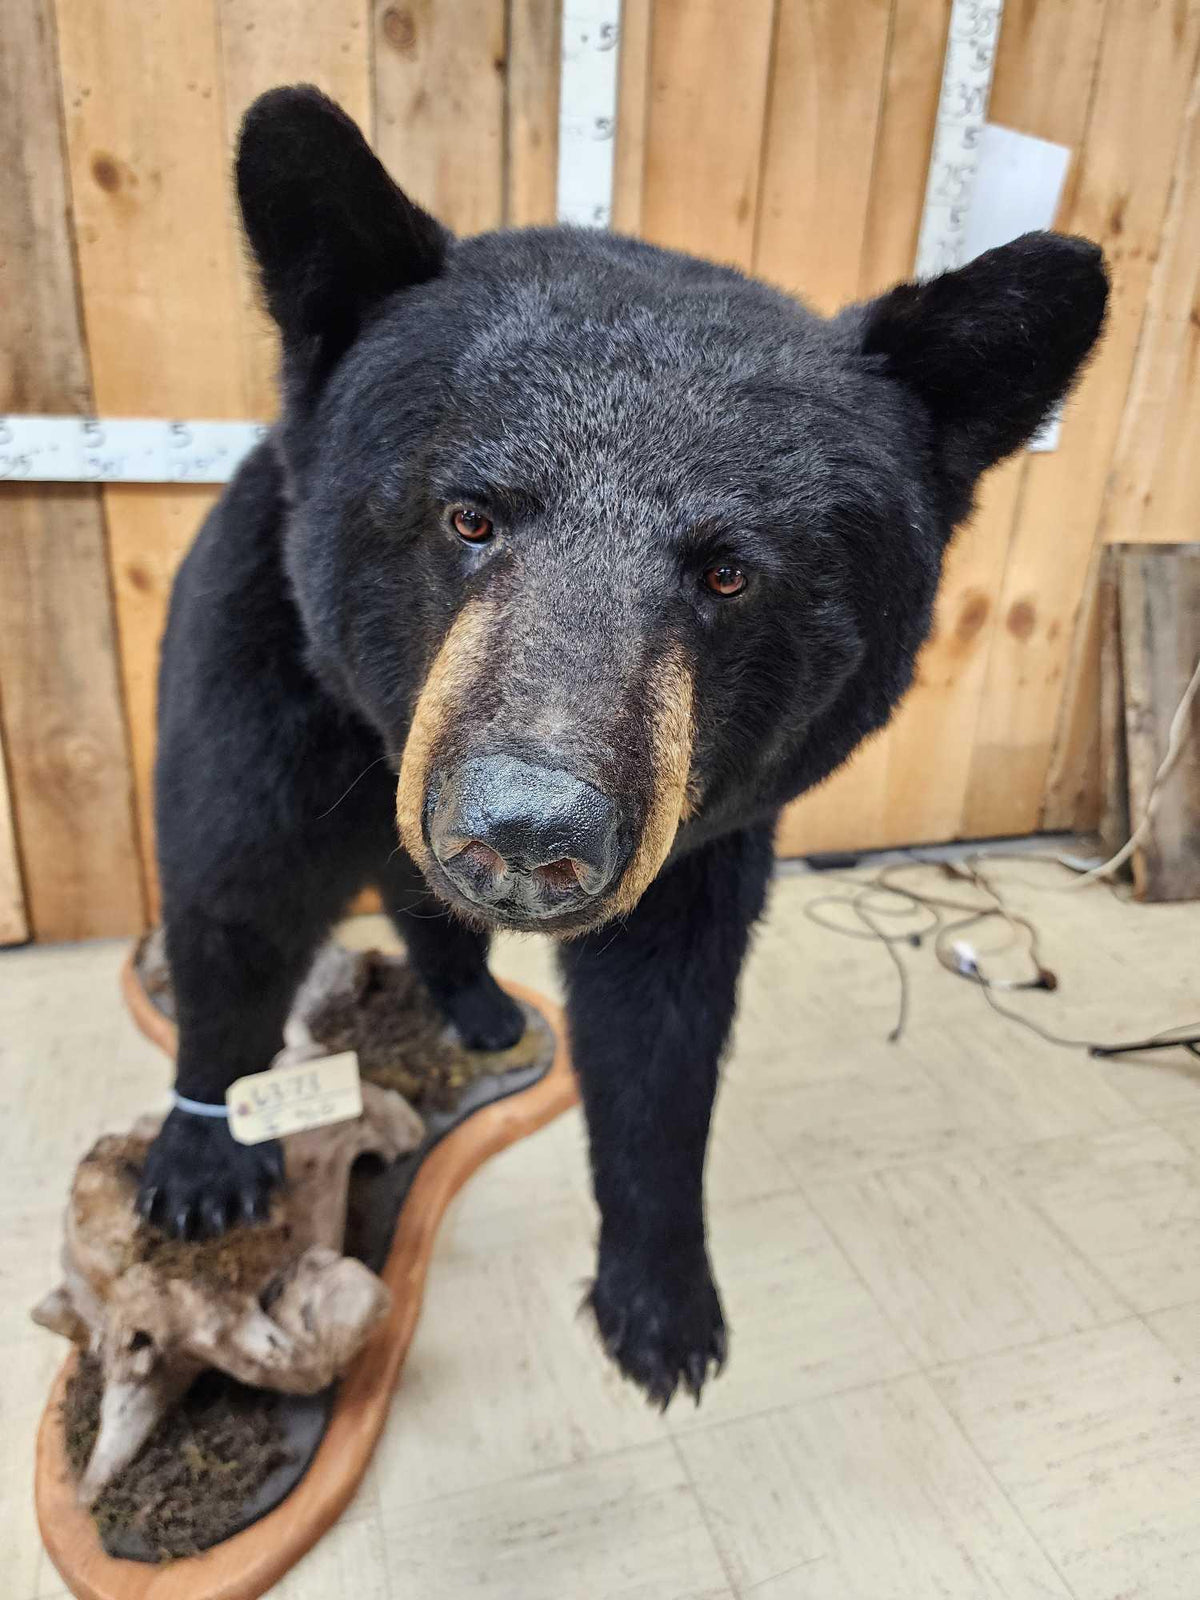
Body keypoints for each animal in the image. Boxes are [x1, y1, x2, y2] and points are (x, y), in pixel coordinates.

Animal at [138, 85, 1108, 1407]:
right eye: (469, 515)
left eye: (730, 573)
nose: (525, 830)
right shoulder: (271, 671)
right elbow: (235, 881)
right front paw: (206, 1157)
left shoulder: (696, 836)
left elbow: (664, 1029)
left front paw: (662, 1306)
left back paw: (481, 1007)